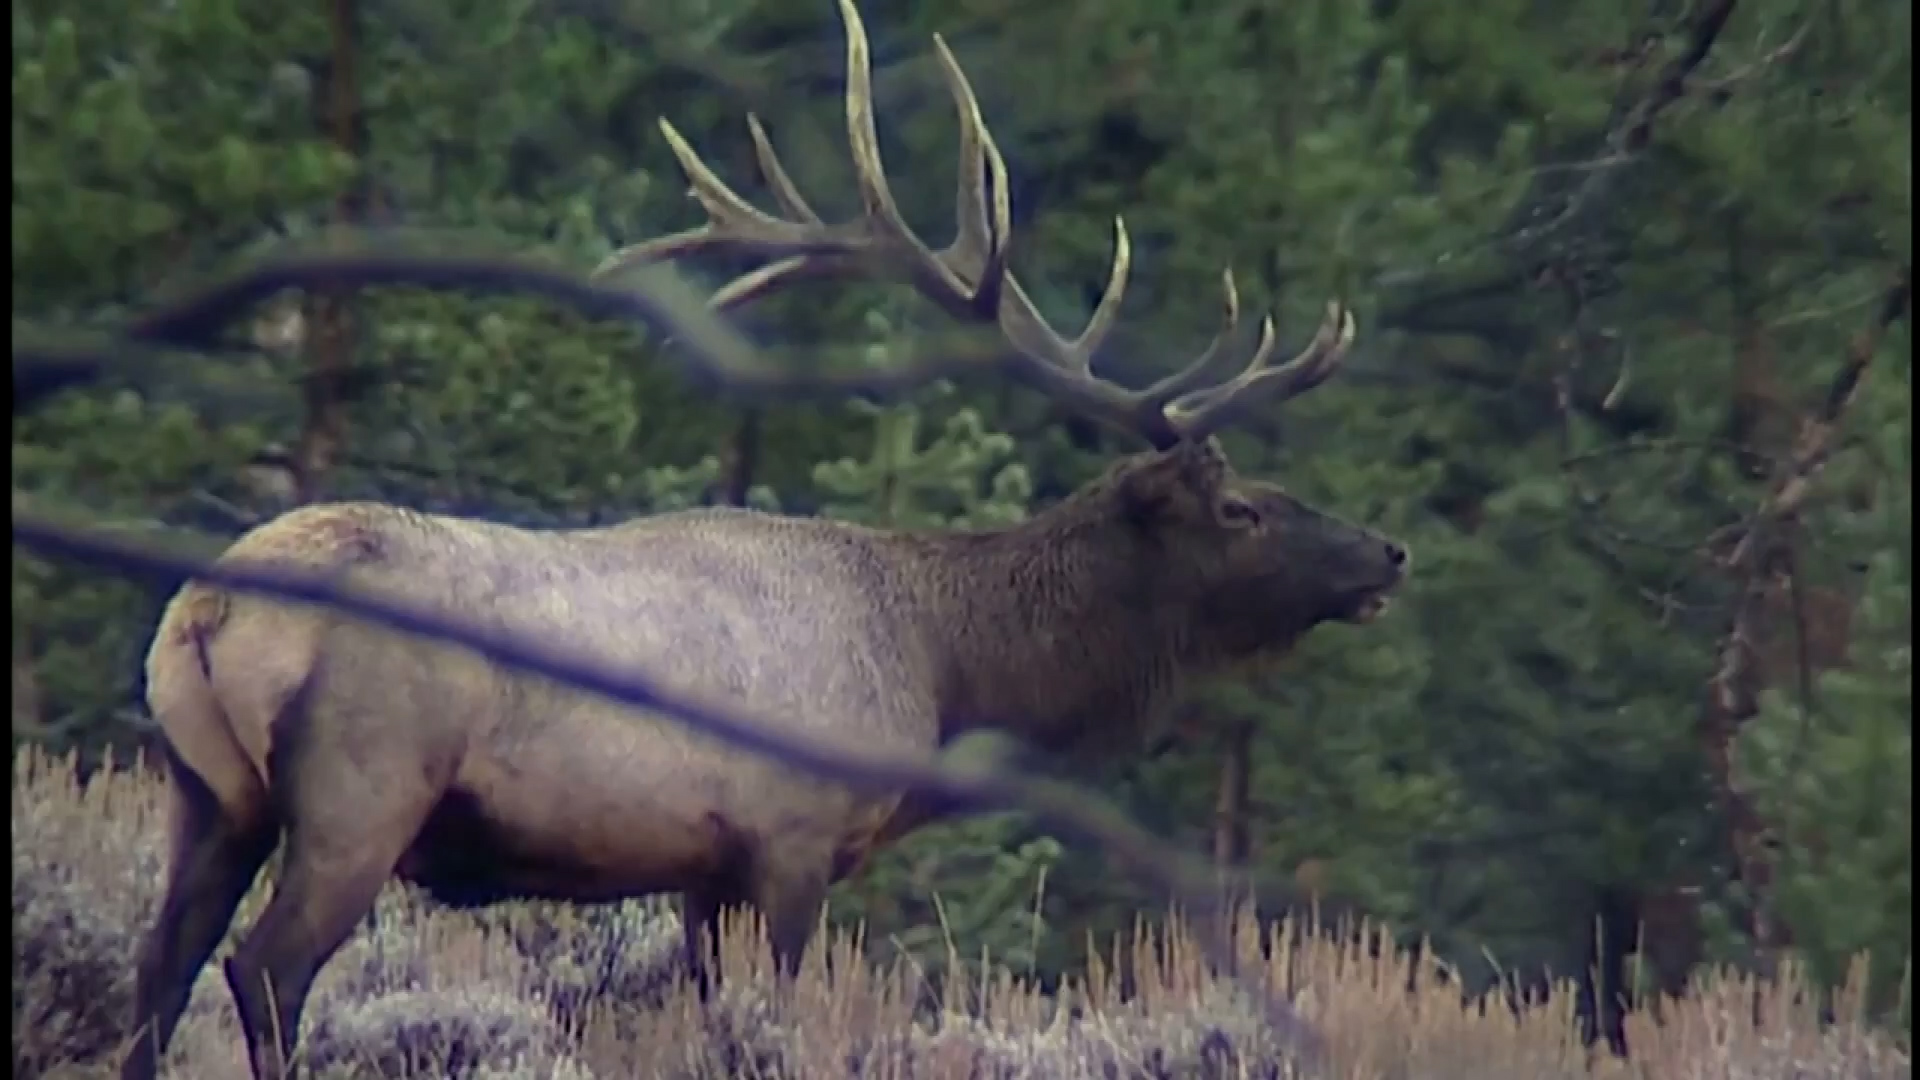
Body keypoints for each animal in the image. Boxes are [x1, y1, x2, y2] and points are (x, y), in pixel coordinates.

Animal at [119, 2, 1407, 1077]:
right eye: (1242, 510)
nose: (1387, 554)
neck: (944, 671)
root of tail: (208, 610)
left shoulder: (703, 874)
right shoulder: (791, 839)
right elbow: (767, 1019)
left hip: (207, 792)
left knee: (160, 966)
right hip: (363, 787)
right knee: (265, 969)